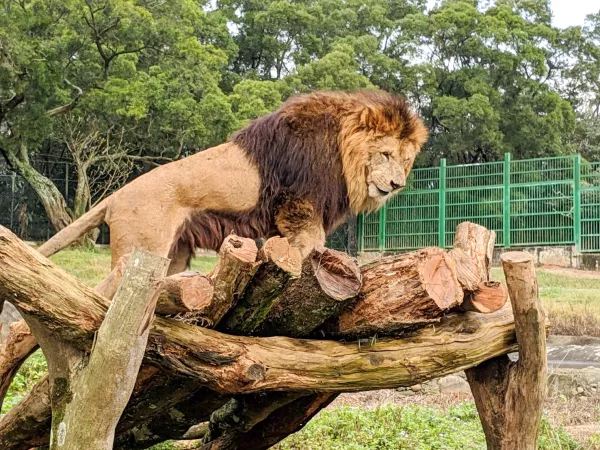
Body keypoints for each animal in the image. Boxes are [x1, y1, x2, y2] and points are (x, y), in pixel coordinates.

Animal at [38, 90, 426, 274]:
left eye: (406, 161)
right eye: (386, 154)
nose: (396, 185)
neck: (342, 149)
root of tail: (115, 196)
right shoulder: (298, 201)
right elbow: (310, 243)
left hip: (171, 257)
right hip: (139, 250)